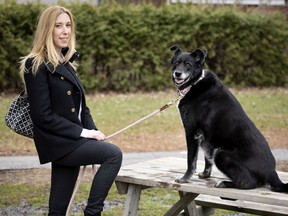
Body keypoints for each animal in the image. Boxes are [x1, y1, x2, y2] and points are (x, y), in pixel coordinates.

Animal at [171, 45, 288, 192]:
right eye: (176, 63)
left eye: (188, 64)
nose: (177, 73)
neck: (195, 82)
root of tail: (271, 172)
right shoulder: (207, 137)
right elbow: (207, 158)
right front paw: (205, 174)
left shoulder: (191, 132)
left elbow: (191, 160)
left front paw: (185, 178)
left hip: (221, 154)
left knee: (248, 183)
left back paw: (225, 183)